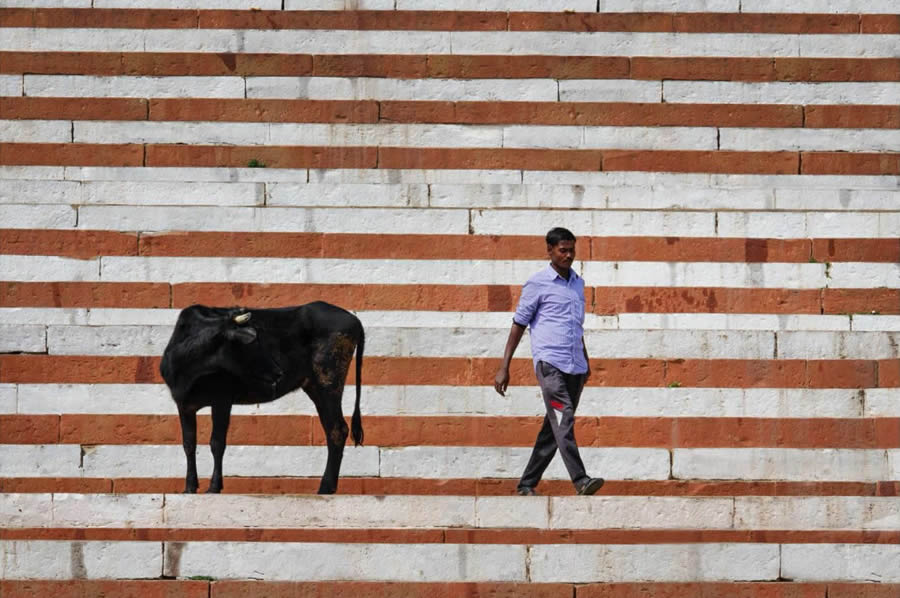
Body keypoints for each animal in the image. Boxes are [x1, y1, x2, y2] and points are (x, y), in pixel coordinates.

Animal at [160, 304, 364, 496]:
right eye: (250, 342)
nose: (278, 372)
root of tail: (354, 320)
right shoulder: (183, 404)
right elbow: (188, 444)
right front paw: (189, 487)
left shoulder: (222, 399)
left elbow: (216, 442)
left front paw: (214, 487)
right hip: (315, 386)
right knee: (332, 429)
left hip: (328, 380)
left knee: (337, 429)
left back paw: (325, 488)